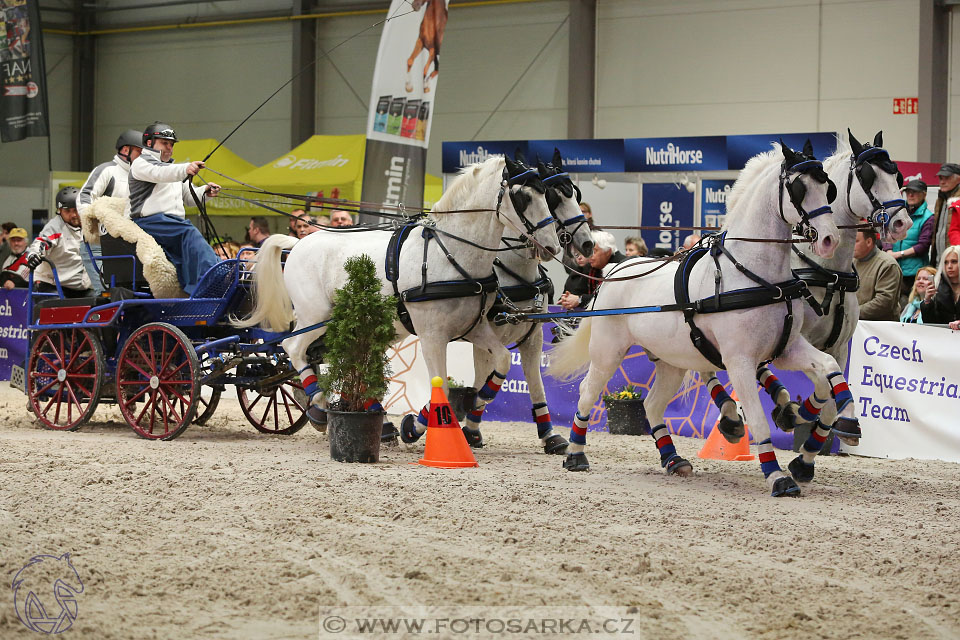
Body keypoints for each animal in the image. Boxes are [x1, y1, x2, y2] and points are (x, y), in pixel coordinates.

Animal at [234, 157, 564, 432]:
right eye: (524, 197)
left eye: (547, 195)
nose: (553, 246)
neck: (450, 253)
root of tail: (297, 243)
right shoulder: (432, 335)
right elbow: (442, 386)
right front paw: (416, 426)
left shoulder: (475, 327)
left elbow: (502, 362)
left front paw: (477, 399)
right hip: (315, 316)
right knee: (292, 347)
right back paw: (318, 403)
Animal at [462, 148, 596, 452]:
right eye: (553, 197)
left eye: (574, 193)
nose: (587, 244)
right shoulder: (483, 335)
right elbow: (482, 378)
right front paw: (471, 427)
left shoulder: (533, 336)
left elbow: (535, 382)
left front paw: (550, 435)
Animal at [548, 142, 848, 498]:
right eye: (799, 188)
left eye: (827, 187)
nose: (829, 239)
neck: (756, 276)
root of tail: (614, 271)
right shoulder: (739, 360)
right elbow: (757, 419)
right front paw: (778, 477)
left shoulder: (786, 349)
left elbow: (827, 367)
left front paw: (814, 409)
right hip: (608, 352)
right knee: (588, 392)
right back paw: (575, 455)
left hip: (670, 362)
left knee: (652, 404)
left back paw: (674, 460)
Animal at [704, 131, 916, 484]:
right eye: (868, 177)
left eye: (897, 176)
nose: (902, 223)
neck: (828, 273)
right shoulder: (793, 337)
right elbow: (822, 386)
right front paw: (800, 416)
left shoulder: (838, 347)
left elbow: (830, 397)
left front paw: (807, 453)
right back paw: (735, 416)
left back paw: (780, 401)